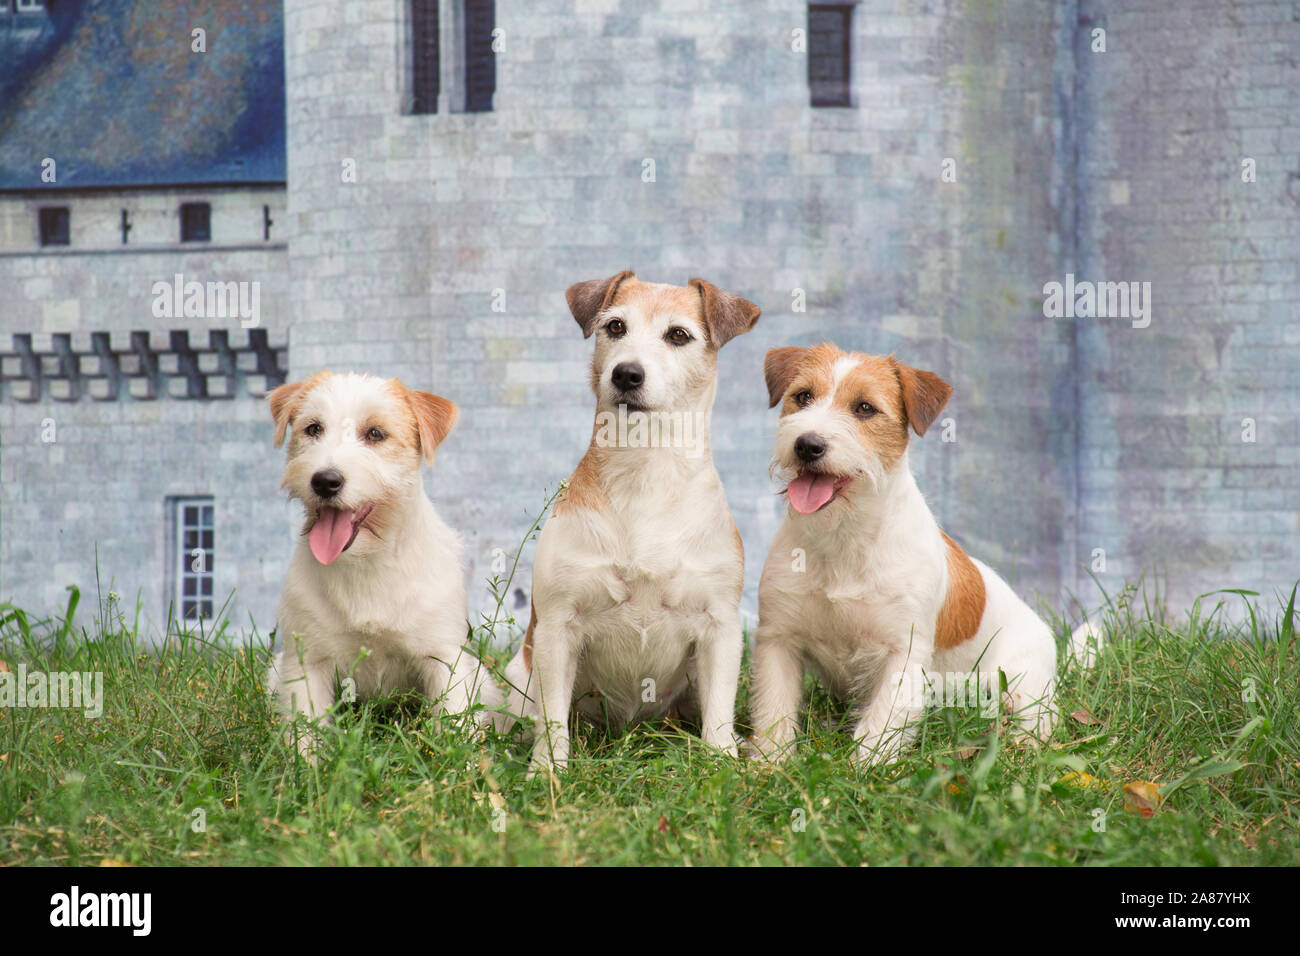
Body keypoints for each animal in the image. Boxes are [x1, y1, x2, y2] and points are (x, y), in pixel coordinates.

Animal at [263, 369, 501, 759]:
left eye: (375, 433)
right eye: (313, 428)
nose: (325, 480)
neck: (367, 562)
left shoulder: (444, 660)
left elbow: (454, 727)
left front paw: (461, 770)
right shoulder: (307, 661)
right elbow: (306, 731)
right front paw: (305, 769)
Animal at [499, 270, 759, 780]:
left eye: (678, 335)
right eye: (615, 326)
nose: (626, 373)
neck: (646, 468)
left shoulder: (719, 628)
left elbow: (719, 713)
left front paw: (721, 763)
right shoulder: (557, 627)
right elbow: (552, 719)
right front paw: (548, 771)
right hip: (521, 675)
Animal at [743, 348, 1097, 764]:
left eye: (865, 408)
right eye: (802, 396)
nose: (807, 444)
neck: (843, 537)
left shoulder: (904, 652)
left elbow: (881, 721)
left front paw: (864, 768)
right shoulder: (778, 640)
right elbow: (774, 709)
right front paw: (770, 763)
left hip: (1021, 678)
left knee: (1041, 714)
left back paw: (1027, 740)